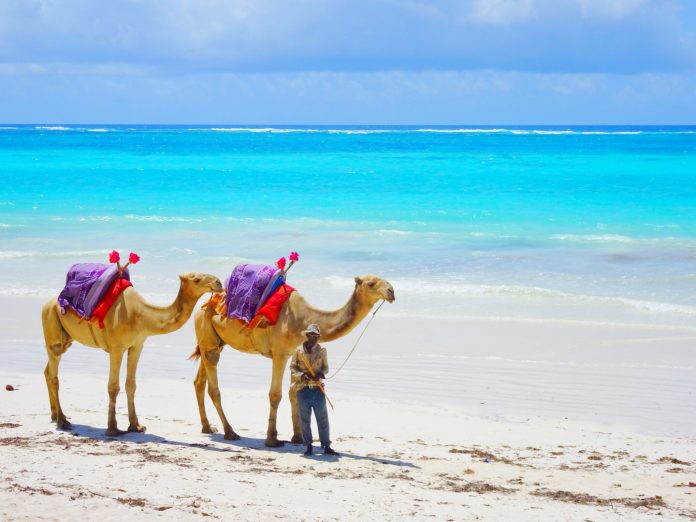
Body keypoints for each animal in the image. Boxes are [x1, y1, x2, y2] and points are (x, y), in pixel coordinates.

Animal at [40, 272, 223, 434]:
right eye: (196, 279)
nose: (219, 283)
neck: (140, 315)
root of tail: (46, 304)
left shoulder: (137, 345)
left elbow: (131, 385)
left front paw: (136, 426)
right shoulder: (117, 347)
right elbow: (113, 386)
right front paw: (112, 429)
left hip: (66, 339)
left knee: (48, 370)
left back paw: (55, 415)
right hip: (52, 326)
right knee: (54, 375)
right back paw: (63, 421)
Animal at [193, 274, 394, 444]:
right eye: (371, 283)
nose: (391, 291)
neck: (303, 319)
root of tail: (201, 306)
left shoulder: (292, 353)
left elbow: (294, 393)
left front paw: (298, 437)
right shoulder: (280, 354)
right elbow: (275, 394)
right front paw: (272, 439)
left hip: (214, 341)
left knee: (199, 381)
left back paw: (207, 427)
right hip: (207, 333)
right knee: (213, 387)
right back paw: (230, 432)